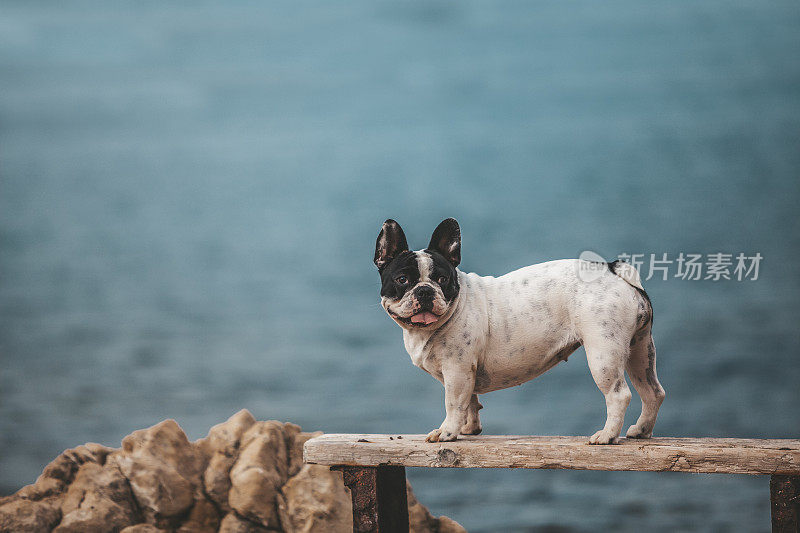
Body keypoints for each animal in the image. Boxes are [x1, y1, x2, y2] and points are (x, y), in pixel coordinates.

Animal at [376, 218, 668, 442]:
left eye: (442, 279)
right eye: (402, 280)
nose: (425, 291)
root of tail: (612, 269)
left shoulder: (457, 370)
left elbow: (454, 403)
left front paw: (447, 432)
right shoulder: (466, 372)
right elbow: (470, 402)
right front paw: (469, 429)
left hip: (603, 353)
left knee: (619, 395)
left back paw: (606, 436)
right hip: (639, 348)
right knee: (652, 391)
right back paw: (641, 430)